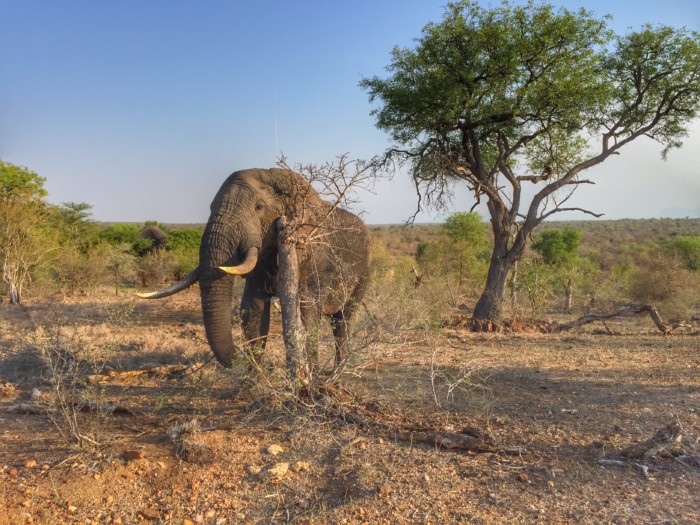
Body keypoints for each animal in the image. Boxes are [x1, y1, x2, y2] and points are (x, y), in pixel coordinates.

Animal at [139, 168, 374, 368]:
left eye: (258, 208)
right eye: (211, 207)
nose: (238, 360)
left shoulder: (314, 253)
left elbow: (308, 314)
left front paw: (312, 379)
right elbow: (253, 312)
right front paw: (255, 382)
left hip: (366, 269)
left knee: (343, 321)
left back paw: (337, 372)